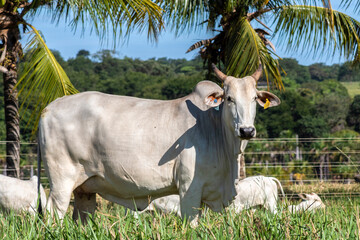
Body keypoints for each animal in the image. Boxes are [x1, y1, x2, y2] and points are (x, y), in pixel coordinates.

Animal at [38, 63, 280, 225]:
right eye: (229, 98)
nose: (246, 130)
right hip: (61, 181)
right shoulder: (189, 189)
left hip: (85, 189)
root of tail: (49, 108)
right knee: (53, 213)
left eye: (254, 99)